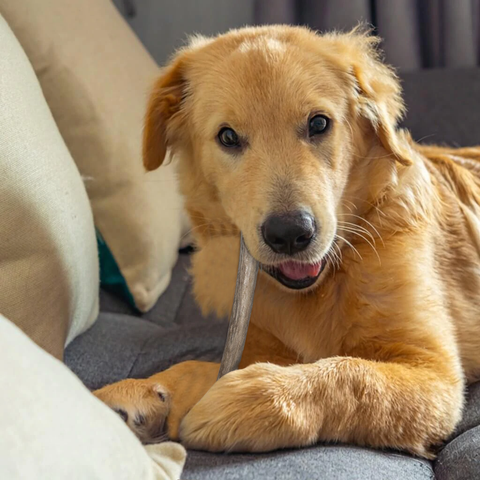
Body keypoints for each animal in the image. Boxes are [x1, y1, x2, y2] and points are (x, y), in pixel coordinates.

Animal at [94, 25, 480, 458]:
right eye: (228, 137)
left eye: (319, 124)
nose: (291, 234)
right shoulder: (259, 341)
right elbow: (199, 367)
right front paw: (135, 393)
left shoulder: (435, 373)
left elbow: (351, 374)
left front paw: (245, 400)